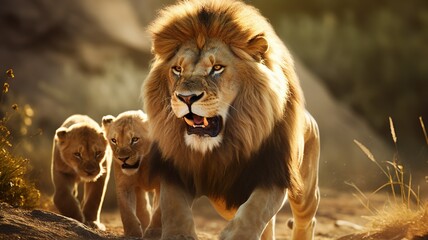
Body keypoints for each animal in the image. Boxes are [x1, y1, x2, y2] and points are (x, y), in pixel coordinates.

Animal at [102, 110, 162, 238]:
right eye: (114, 140)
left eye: (135, 139)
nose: (122, 159)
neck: (144, 163)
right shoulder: (125, 185)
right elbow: (127, 211)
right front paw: (132, 233)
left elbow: (159, 211)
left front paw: (153, 233)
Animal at [142, 0, 320, 239]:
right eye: (177, 69)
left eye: (217, 68)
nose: (186, 97)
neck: (219, 149)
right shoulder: (176, 169)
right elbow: (173, 206)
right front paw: (178, 234)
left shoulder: (274, 172)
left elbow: (255, 210)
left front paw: (235, 234)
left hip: (305, 190)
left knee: (306, 217)